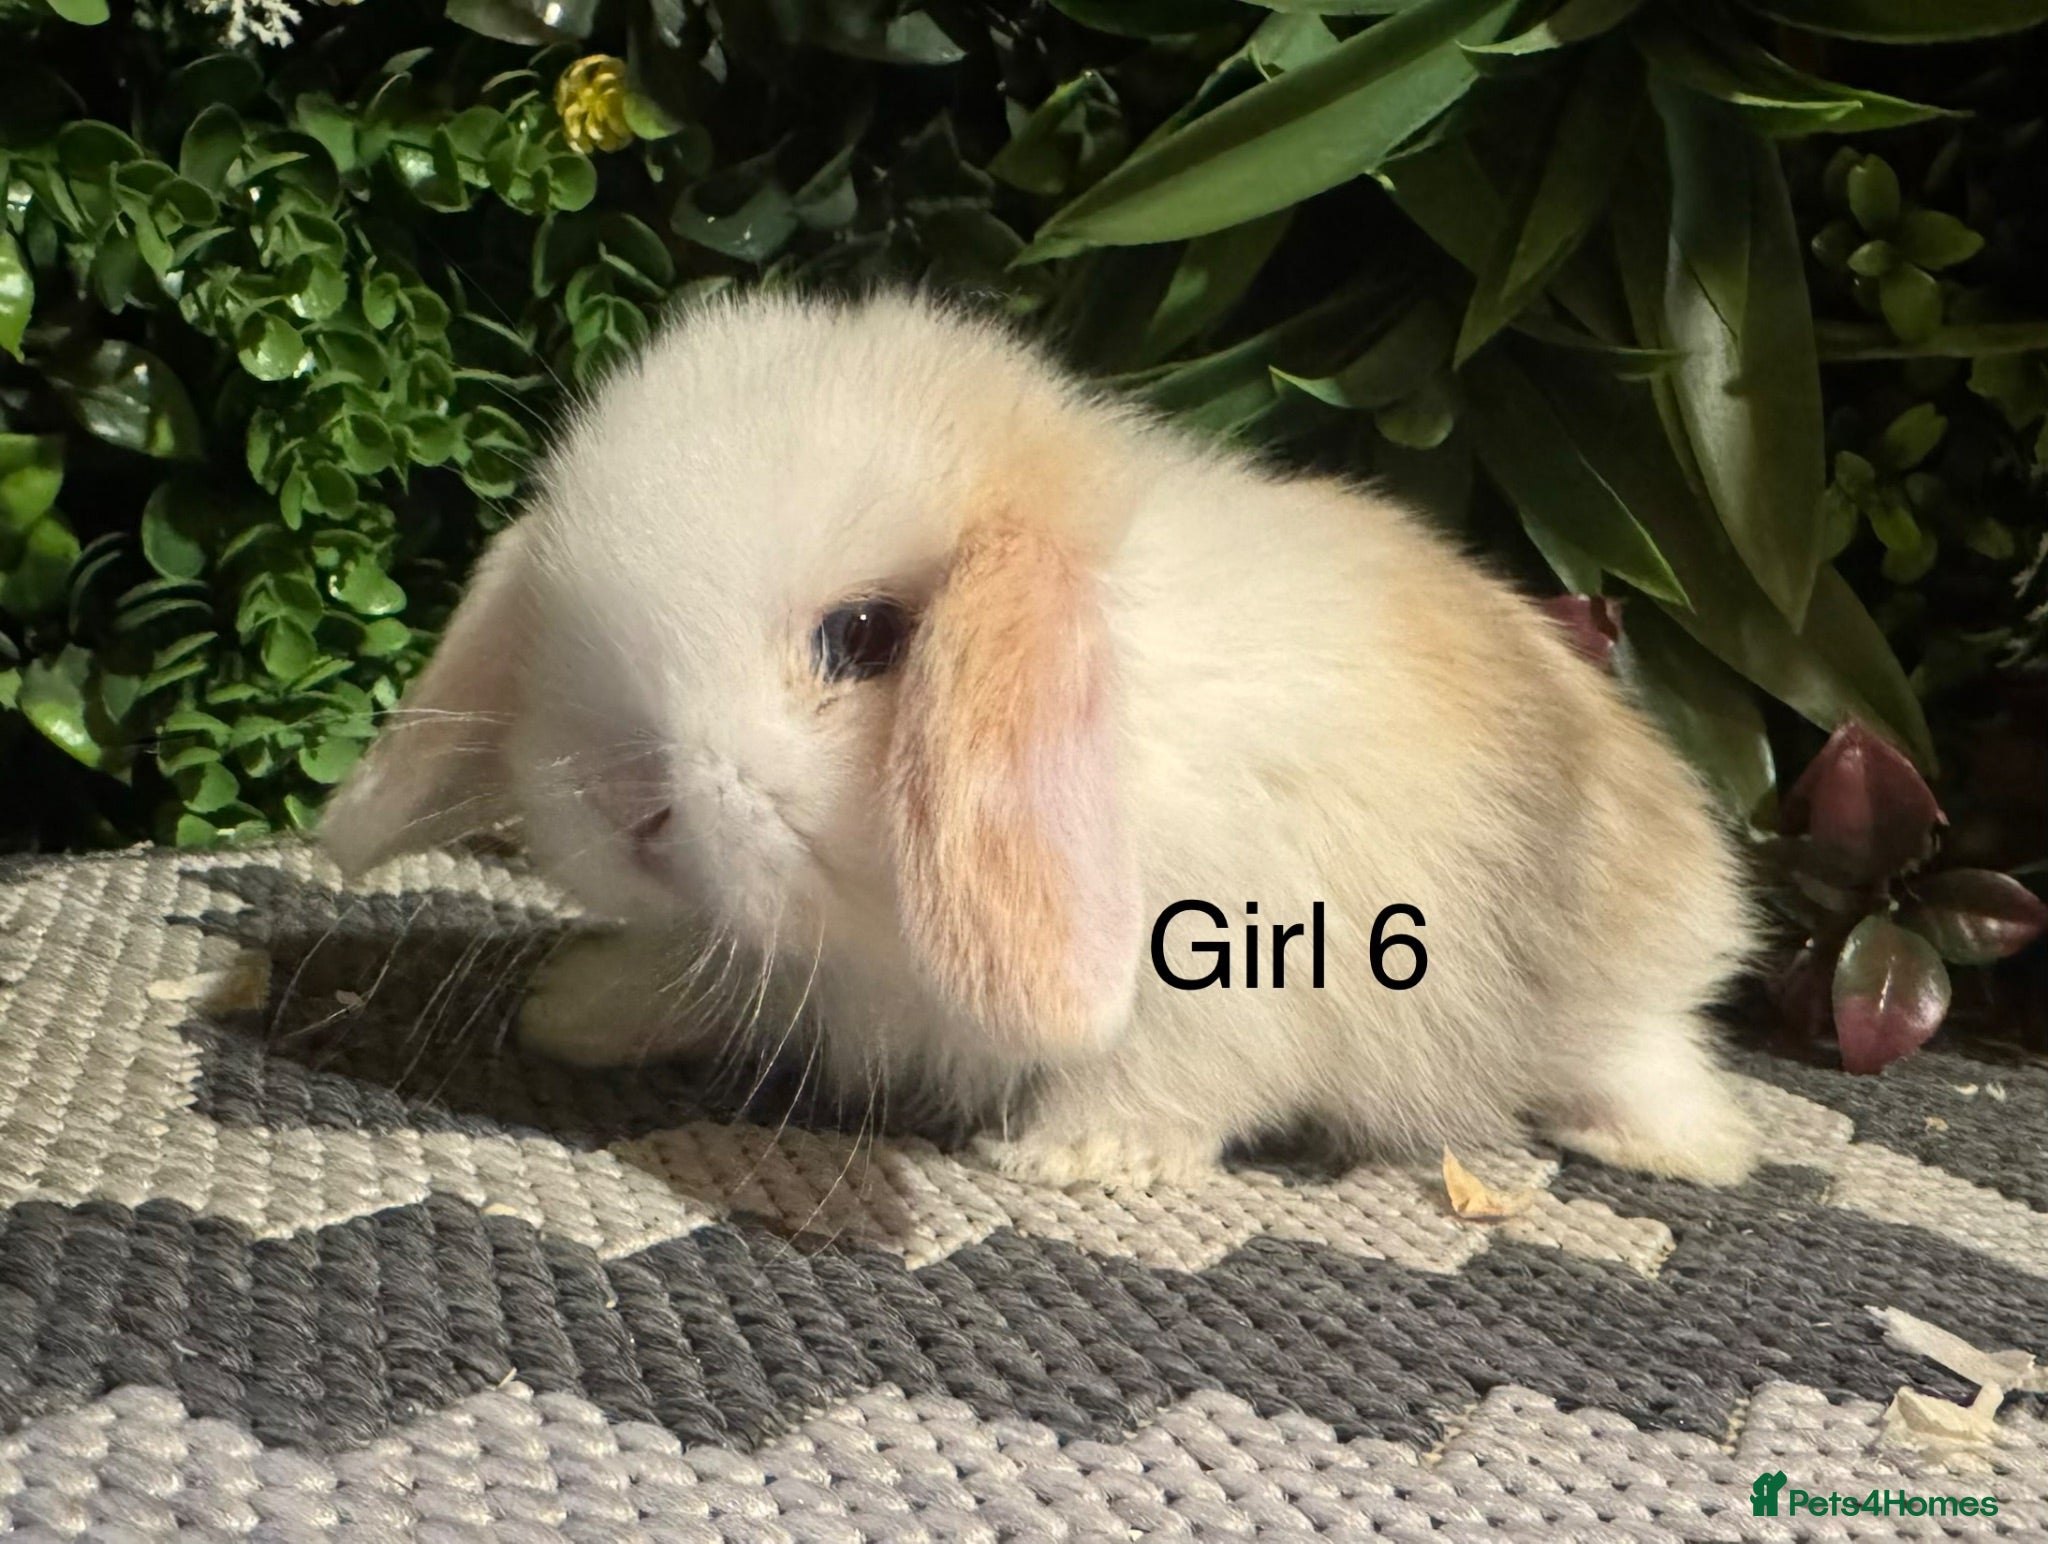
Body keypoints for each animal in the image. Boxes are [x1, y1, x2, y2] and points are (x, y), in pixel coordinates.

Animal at [320, 288, 1761, 1191]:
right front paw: (574, 1012)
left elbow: (1167, 1079)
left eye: (863, 636)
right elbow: (694, 972)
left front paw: (1074, 1159)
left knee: (1648, 1054)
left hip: (1612, 985)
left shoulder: (1229, 974)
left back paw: (1676, 1147)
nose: (630, 803)